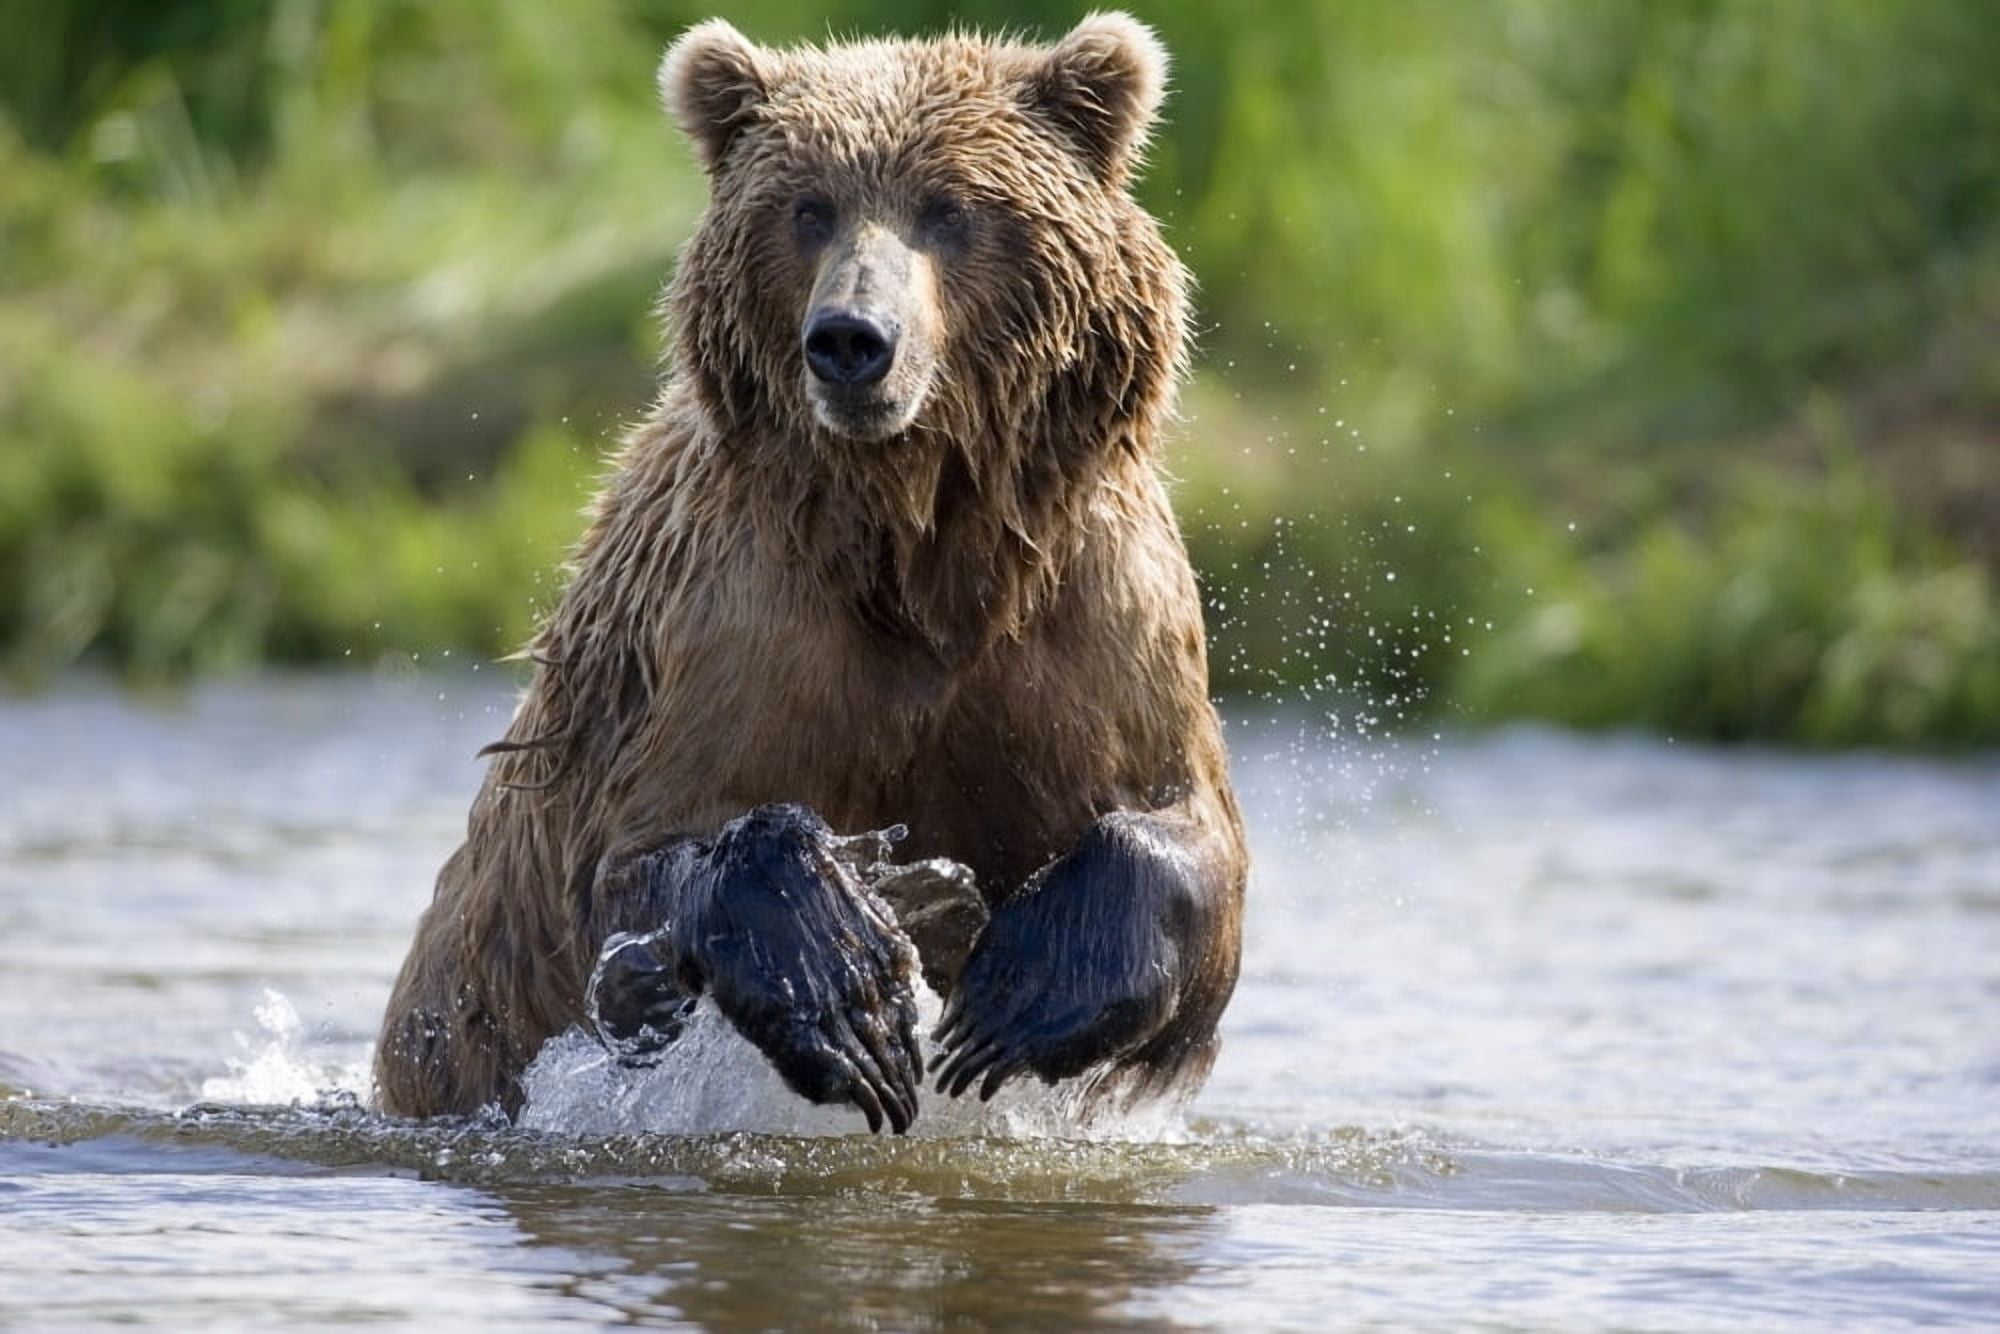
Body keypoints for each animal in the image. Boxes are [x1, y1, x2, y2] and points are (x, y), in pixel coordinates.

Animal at [373, 12, 1247, 1133]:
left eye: (950, 205)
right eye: (808, 206)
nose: (850, 340)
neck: (918, 545)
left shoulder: (1094, 613)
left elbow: (1188, 836)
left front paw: (1018, 991)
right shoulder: (736, 626)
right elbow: (642, 871)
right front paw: (851, 981)